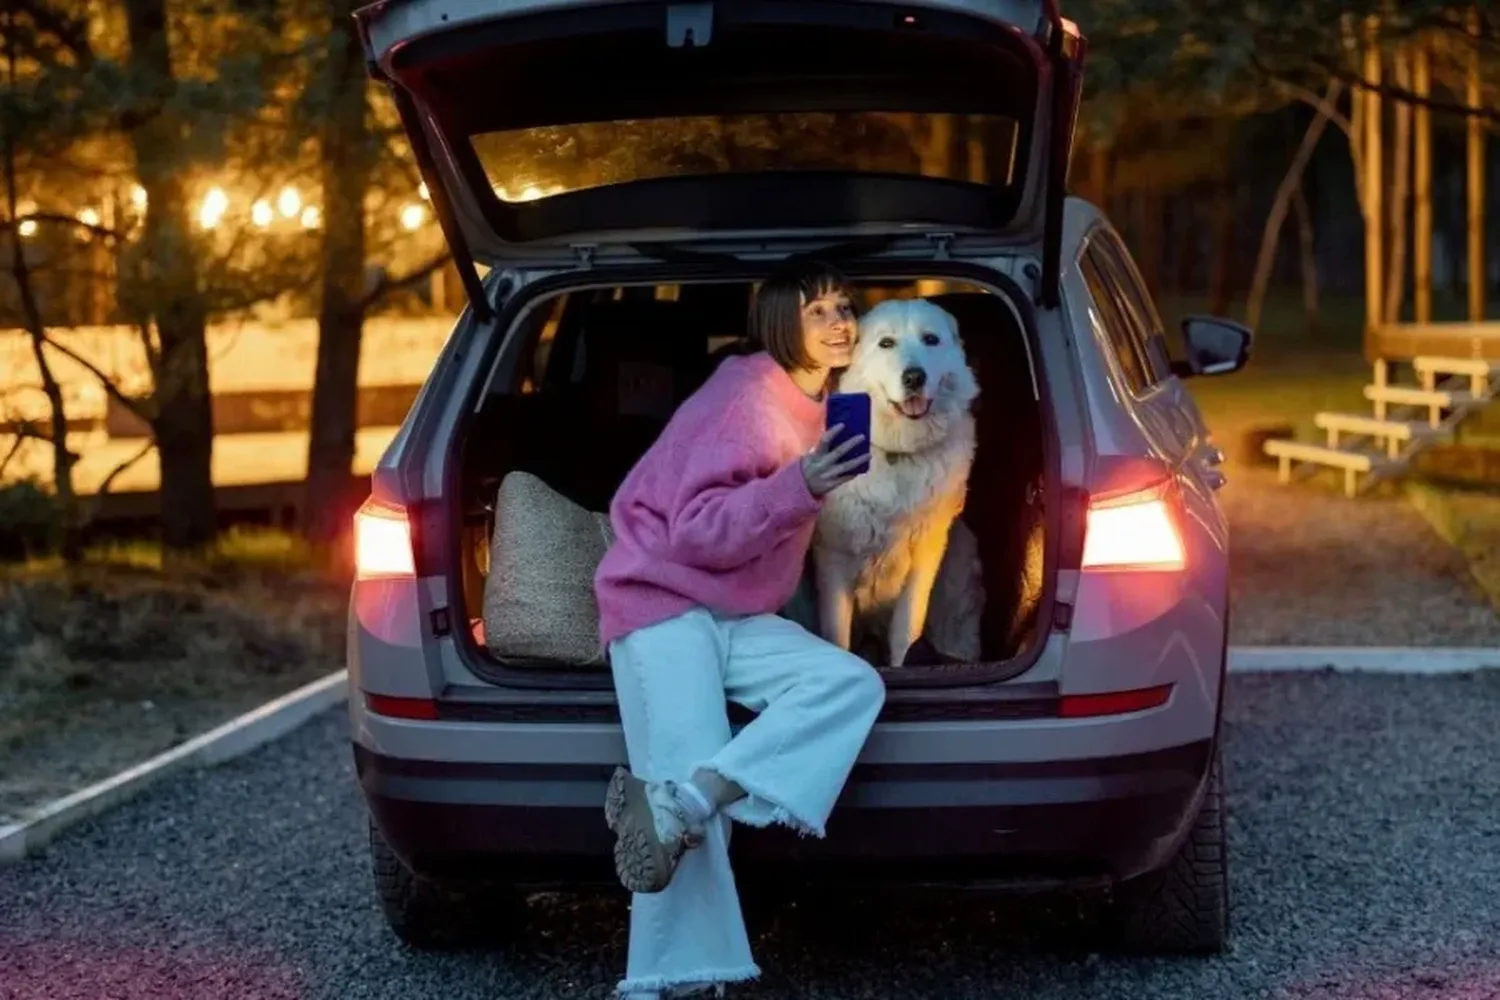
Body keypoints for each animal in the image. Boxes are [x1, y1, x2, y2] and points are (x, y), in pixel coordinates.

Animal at [810, 299, 984, 671]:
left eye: (931, 339)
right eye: (886, 343)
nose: (914, 377)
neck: (897, 453)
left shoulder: (923, 562)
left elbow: (907, 632)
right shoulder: (833, 559)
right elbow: (836, 635)